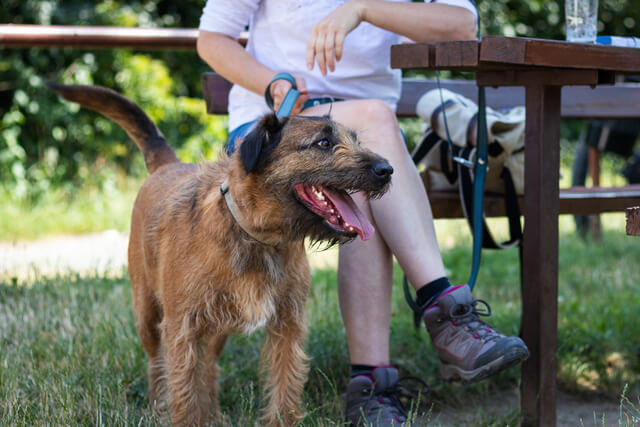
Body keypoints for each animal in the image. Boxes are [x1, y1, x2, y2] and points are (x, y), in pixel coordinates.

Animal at [50, 84, 392, 427]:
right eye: (323, 143)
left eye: (355, 139)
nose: (387, 170)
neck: (257, 236)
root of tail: (168, 165)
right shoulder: (182, 328)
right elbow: (183, 389)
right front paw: (185, 417)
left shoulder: (288, 325)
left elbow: (285, 384)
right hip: (147, 312)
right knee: (157, 364)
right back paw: (159, 404)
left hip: (216, 328)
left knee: (209, 367)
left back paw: (212, 412)